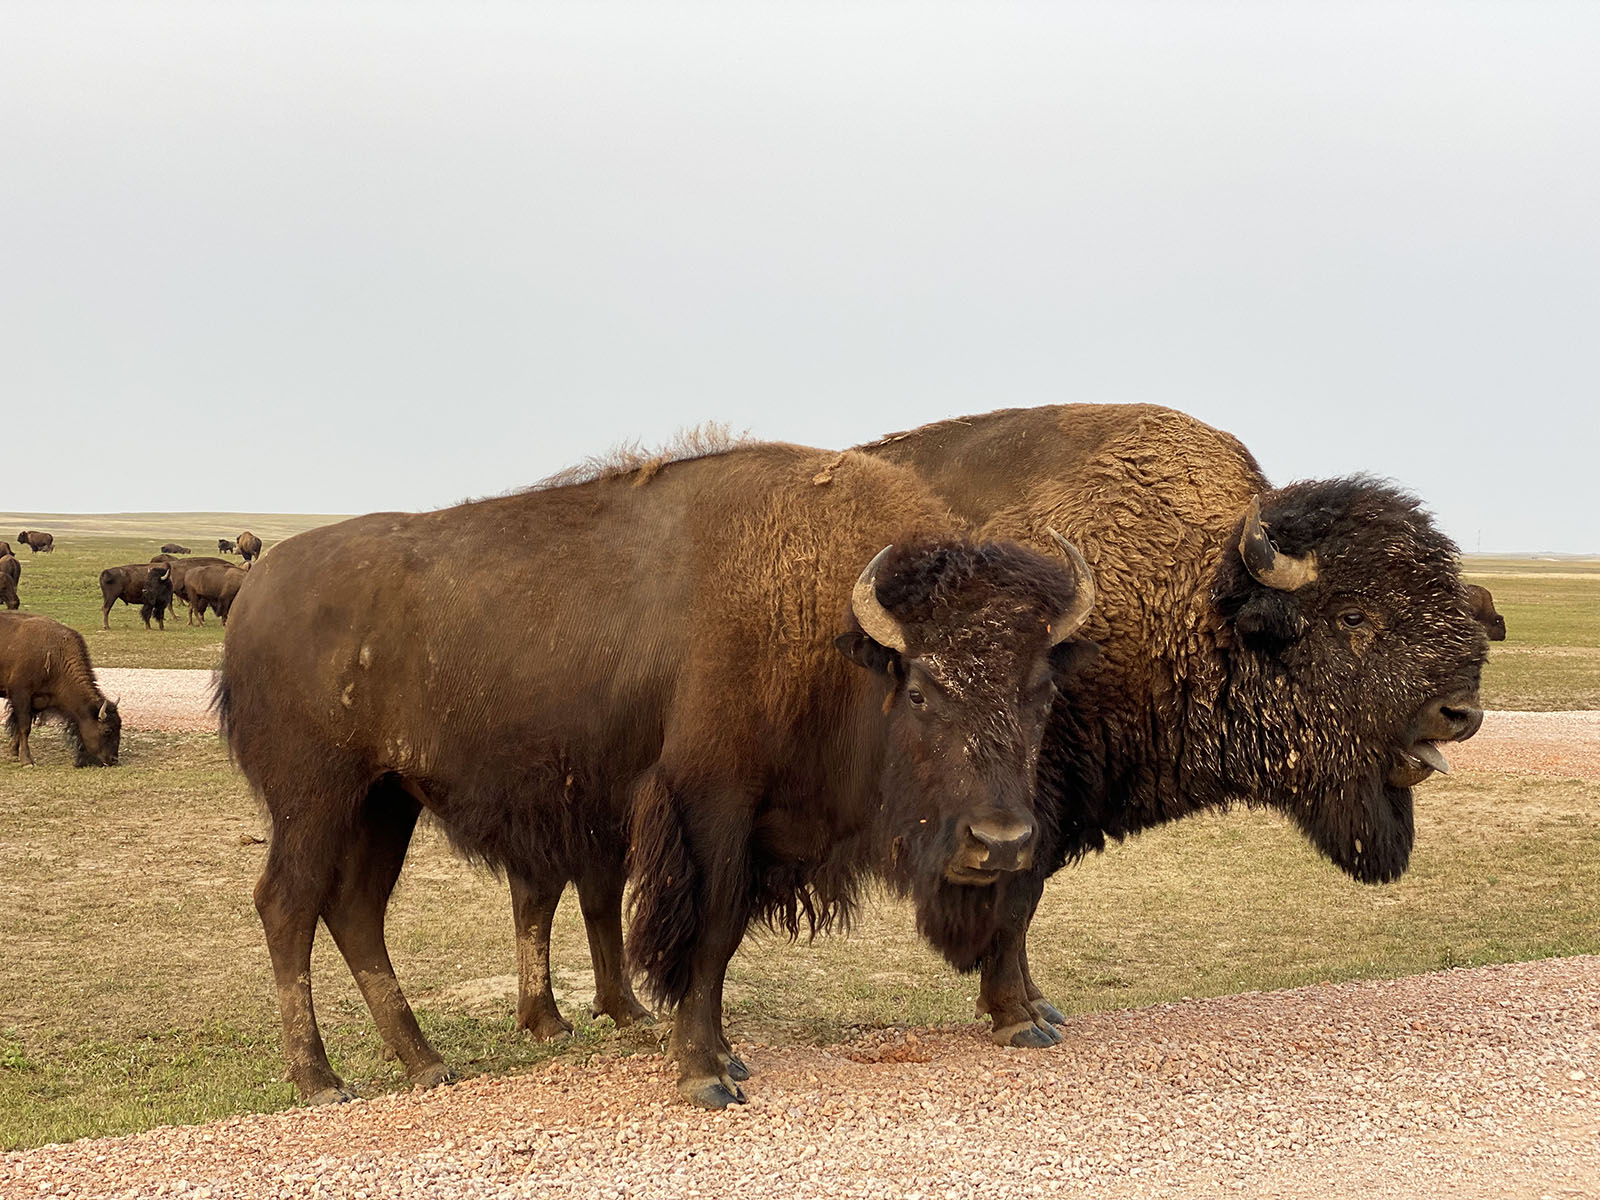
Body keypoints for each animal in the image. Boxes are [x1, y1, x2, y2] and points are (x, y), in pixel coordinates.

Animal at [0, 614, 120, 764]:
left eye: (119, 726)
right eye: (107, 730)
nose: (114, 759)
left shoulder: (37, 701)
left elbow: (19, 726)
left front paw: (13, 752)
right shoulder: (20, 694)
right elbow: (24, 727)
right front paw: (27, 760)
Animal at [219, 441, 1100, 1107]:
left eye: (1043, 689)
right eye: (919, 688)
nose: (1000, 842)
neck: (824, 629)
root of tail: (254, 592)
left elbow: (714, 935)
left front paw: (714, 1053)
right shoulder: (711, 808)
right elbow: (708, 935)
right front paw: (705, 1072)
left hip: (384, 802)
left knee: (356, 911)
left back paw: (427, 1063)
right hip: (315, 797)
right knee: (288, 905)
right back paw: (321, 1080)